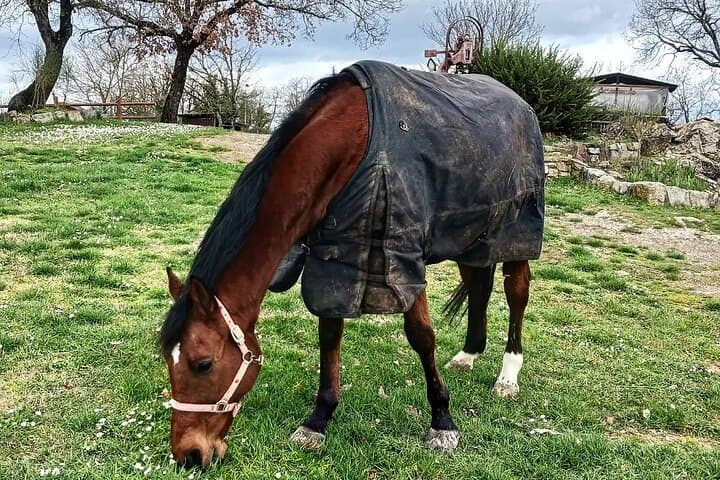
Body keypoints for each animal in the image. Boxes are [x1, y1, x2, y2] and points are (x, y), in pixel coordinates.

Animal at [160, 60, 544, 468]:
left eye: (202, 363)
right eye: (168, 361)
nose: (188, 454)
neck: (353, 146)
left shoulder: (402, 258)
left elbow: (422, 336)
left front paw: (442, 421)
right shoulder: (336, 257)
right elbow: (330, 335)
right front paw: (318, 420)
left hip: (516, 232)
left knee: (516, 294)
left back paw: (508, 375)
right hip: (472, 236)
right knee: (479, 286)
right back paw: (469, 355)